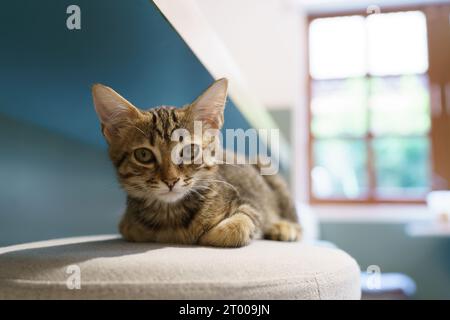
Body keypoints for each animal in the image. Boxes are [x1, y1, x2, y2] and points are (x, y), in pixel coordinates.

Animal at [92, 78, 300, 248]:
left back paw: (284, 227)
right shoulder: (127, 226)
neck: (170, 216)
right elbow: (131, 229)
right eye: (143, 155)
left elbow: (241, 224)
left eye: (190, 151)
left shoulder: (252, 205)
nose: (170, 181)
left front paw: (209, 234)